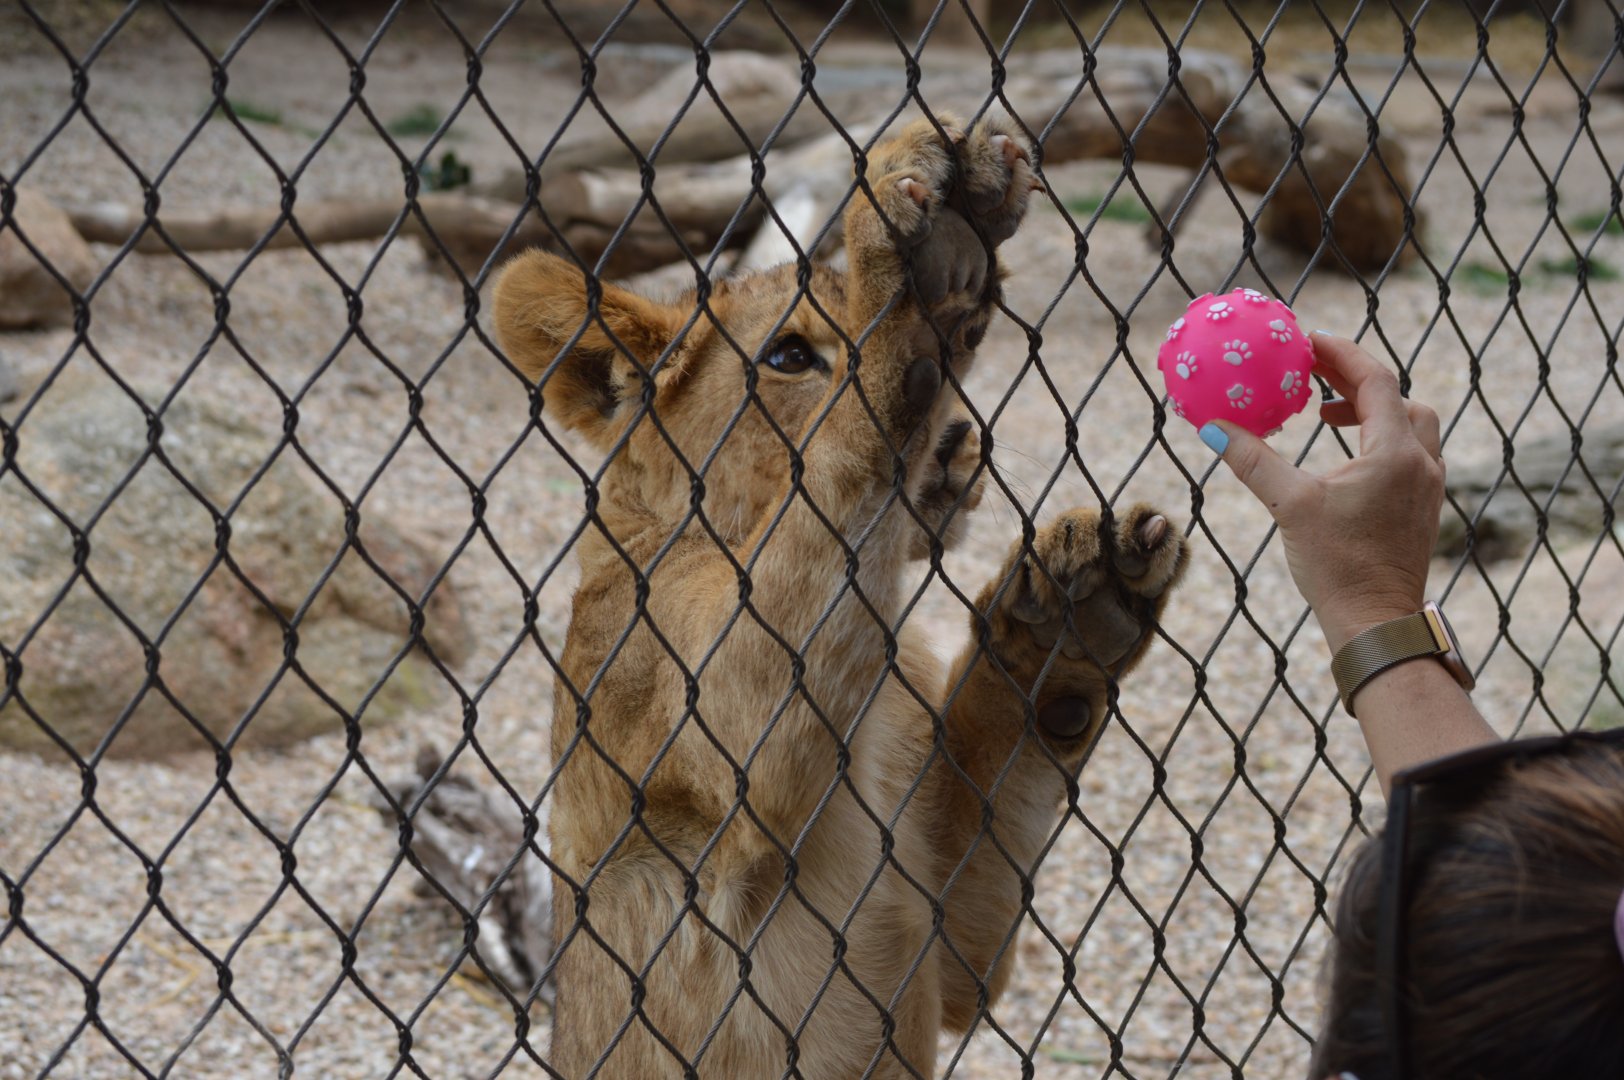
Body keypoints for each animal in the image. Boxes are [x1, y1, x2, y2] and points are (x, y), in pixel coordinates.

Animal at [491, 115, 1189, 1078]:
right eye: (791, 357)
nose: (956, 444)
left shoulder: (958, 946)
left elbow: (1006, 756)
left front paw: (1075, 613)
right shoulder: (717, 724)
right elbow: (846, 456)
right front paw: (919, 261)